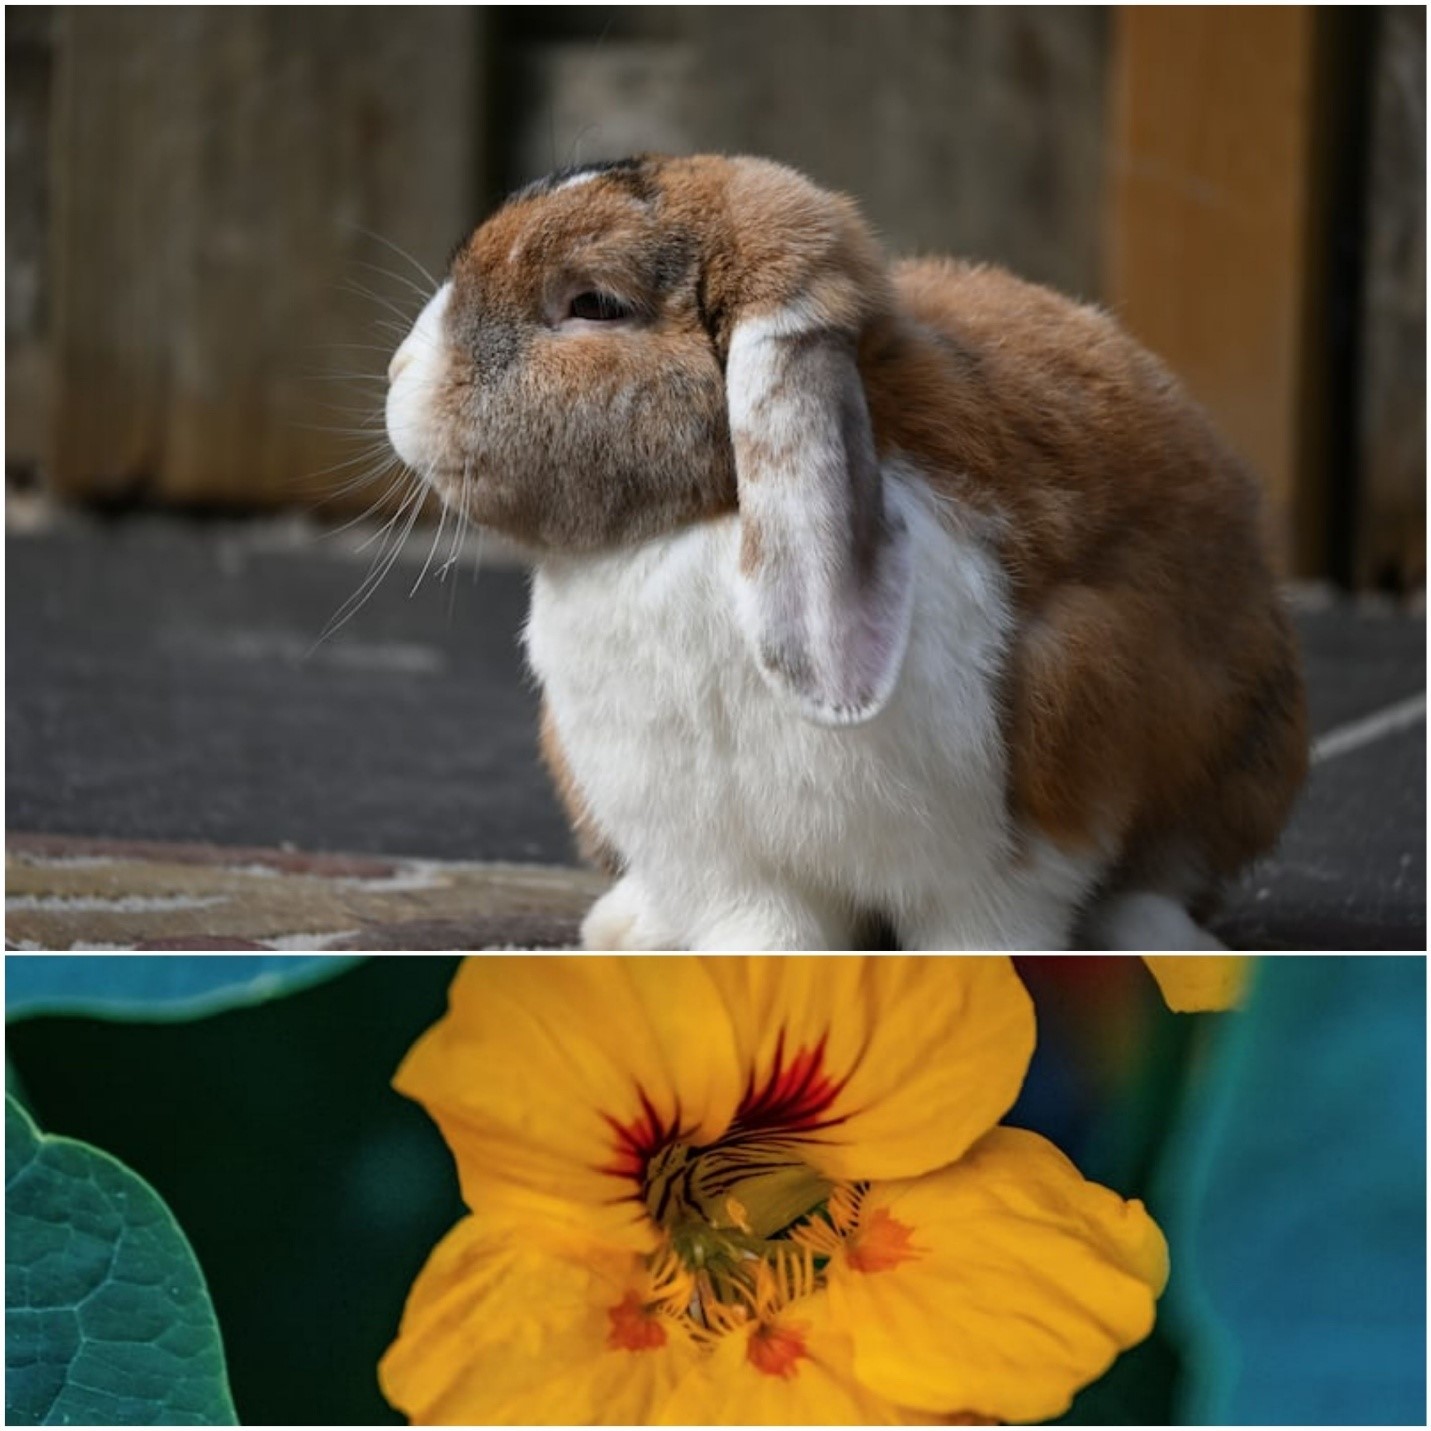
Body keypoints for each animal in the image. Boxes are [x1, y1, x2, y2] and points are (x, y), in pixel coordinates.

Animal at [385, 154, 1308, 951]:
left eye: (594, 303)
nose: (397, 374)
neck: (698, 525)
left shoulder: (1021, 828)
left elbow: (989, 928)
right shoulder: (721, 856)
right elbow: (765, 931)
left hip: (1238, 752)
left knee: (1165, 873)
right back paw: (627, 926)